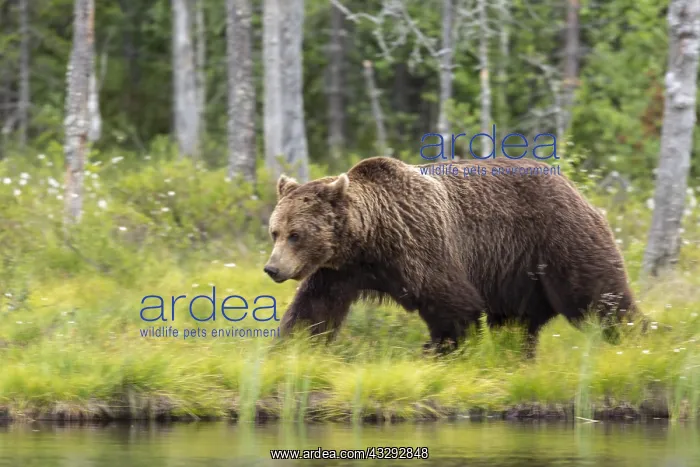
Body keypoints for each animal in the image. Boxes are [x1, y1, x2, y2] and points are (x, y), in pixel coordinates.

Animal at [263, 156, 641, 355]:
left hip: (559, 241)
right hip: (515, 273)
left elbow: (454, 305)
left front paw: (440, 351)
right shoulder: (340, 271)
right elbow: (314, 310)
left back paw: (635, 337)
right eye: (275, 231)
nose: (272, 268)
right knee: (517, 323)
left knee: (599, 297)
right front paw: (290, 347)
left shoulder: (421, 246)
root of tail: (577, 189)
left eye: (296, 234)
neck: (370, 241)